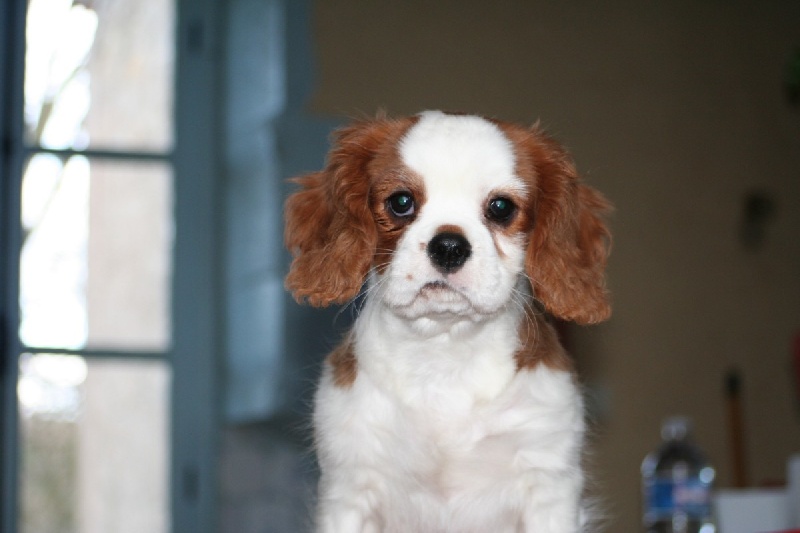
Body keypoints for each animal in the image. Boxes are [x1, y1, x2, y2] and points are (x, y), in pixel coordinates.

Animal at [286, 110, 612, 528]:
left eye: (501, 208)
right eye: (401, 202)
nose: (449, 246)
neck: (443, 350)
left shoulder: (549, 484)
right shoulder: (349, 488)